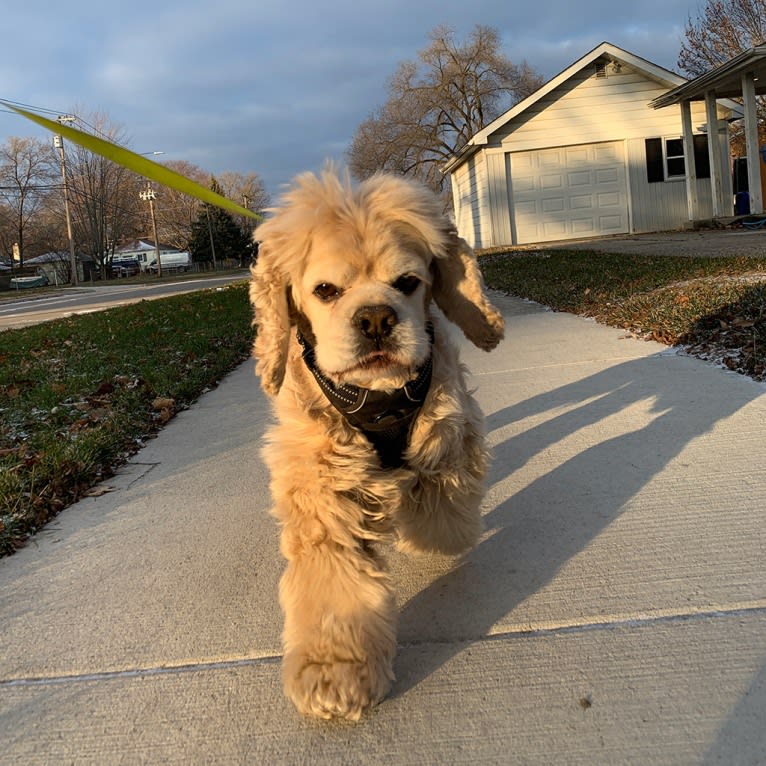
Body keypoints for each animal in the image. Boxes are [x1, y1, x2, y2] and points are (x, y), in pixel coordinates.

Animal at [249, 168, 508, 720]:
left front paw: (424, 534)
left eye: (408, 283)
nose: (375, 319)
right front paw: (335, 674)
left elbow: (443, 507)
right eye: (325, 290)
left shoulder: (447, 422)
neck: (379, 395)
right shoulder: (322, 483)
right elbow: (335, 578)